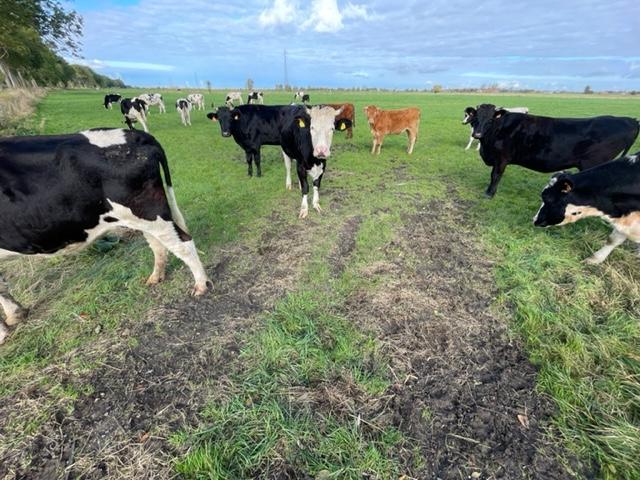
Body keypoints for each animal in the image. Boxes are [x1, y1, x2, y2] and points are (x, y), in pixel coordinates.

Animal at [0, 128, 211, 344]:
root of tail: (135, 134)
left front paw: (3, 333)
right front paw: (15, 315)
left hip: (150, 212)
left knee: (183, 243)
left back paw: (201, 285)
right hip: (141, 217)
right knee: (158, 244)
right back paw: (155, 277)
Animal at [206, 105, 351, 218]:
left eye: (332, 129)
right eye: (312, 128)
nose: (321, 150)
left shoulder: (323, 165)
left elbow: (316, 184)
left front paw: (316, 204)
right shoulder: (254, 146)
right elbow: (305, 187)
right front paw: (304, 209)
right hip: (285, 151)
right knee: (288, 167)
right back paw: (289, 184)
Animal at [466, 104, 640, 198]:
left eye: (490, 120)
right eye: (475, 118)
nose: (477, 134)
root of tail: (630, 120)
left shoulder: (501, 158)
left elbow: (495, 176)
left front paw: (489, 193)